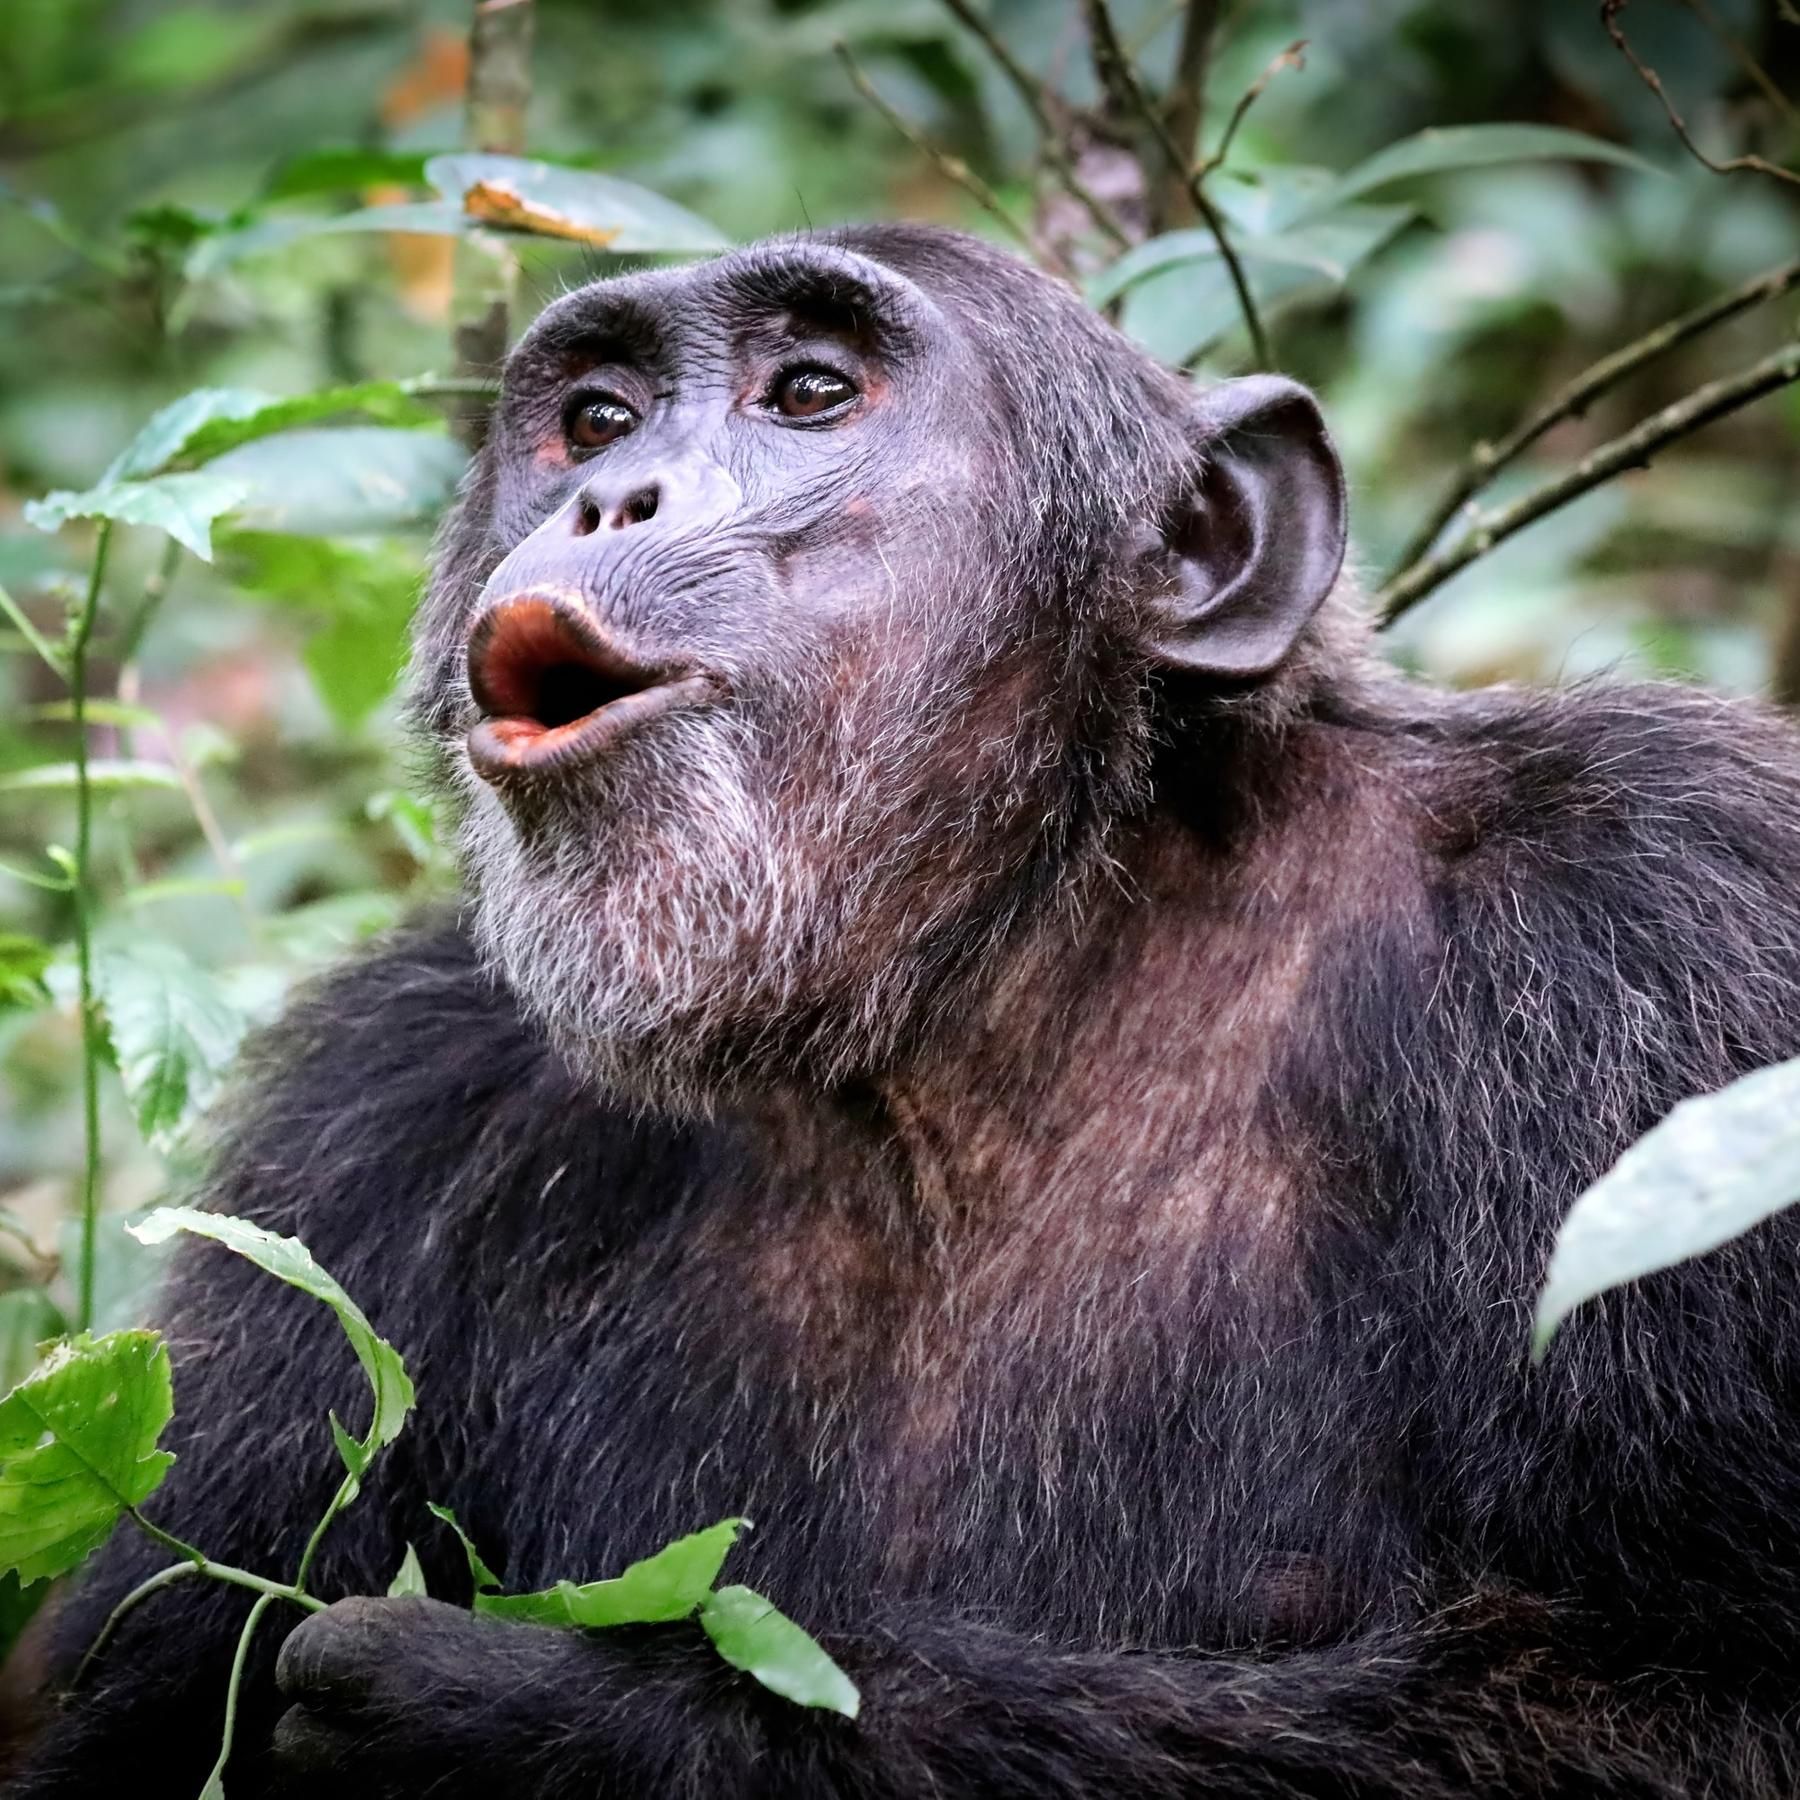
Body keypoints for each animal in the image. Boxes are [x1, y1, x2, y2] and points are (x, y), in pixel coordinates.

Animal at [7, 222, 1800, 1798]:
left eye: (810, 393)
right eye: (595, 417)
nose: (605, 494)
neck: (978, 995)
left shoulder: (1675, 933)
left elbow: (1692, 1702)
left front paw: (520, 1715)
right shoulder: (377, 1116)